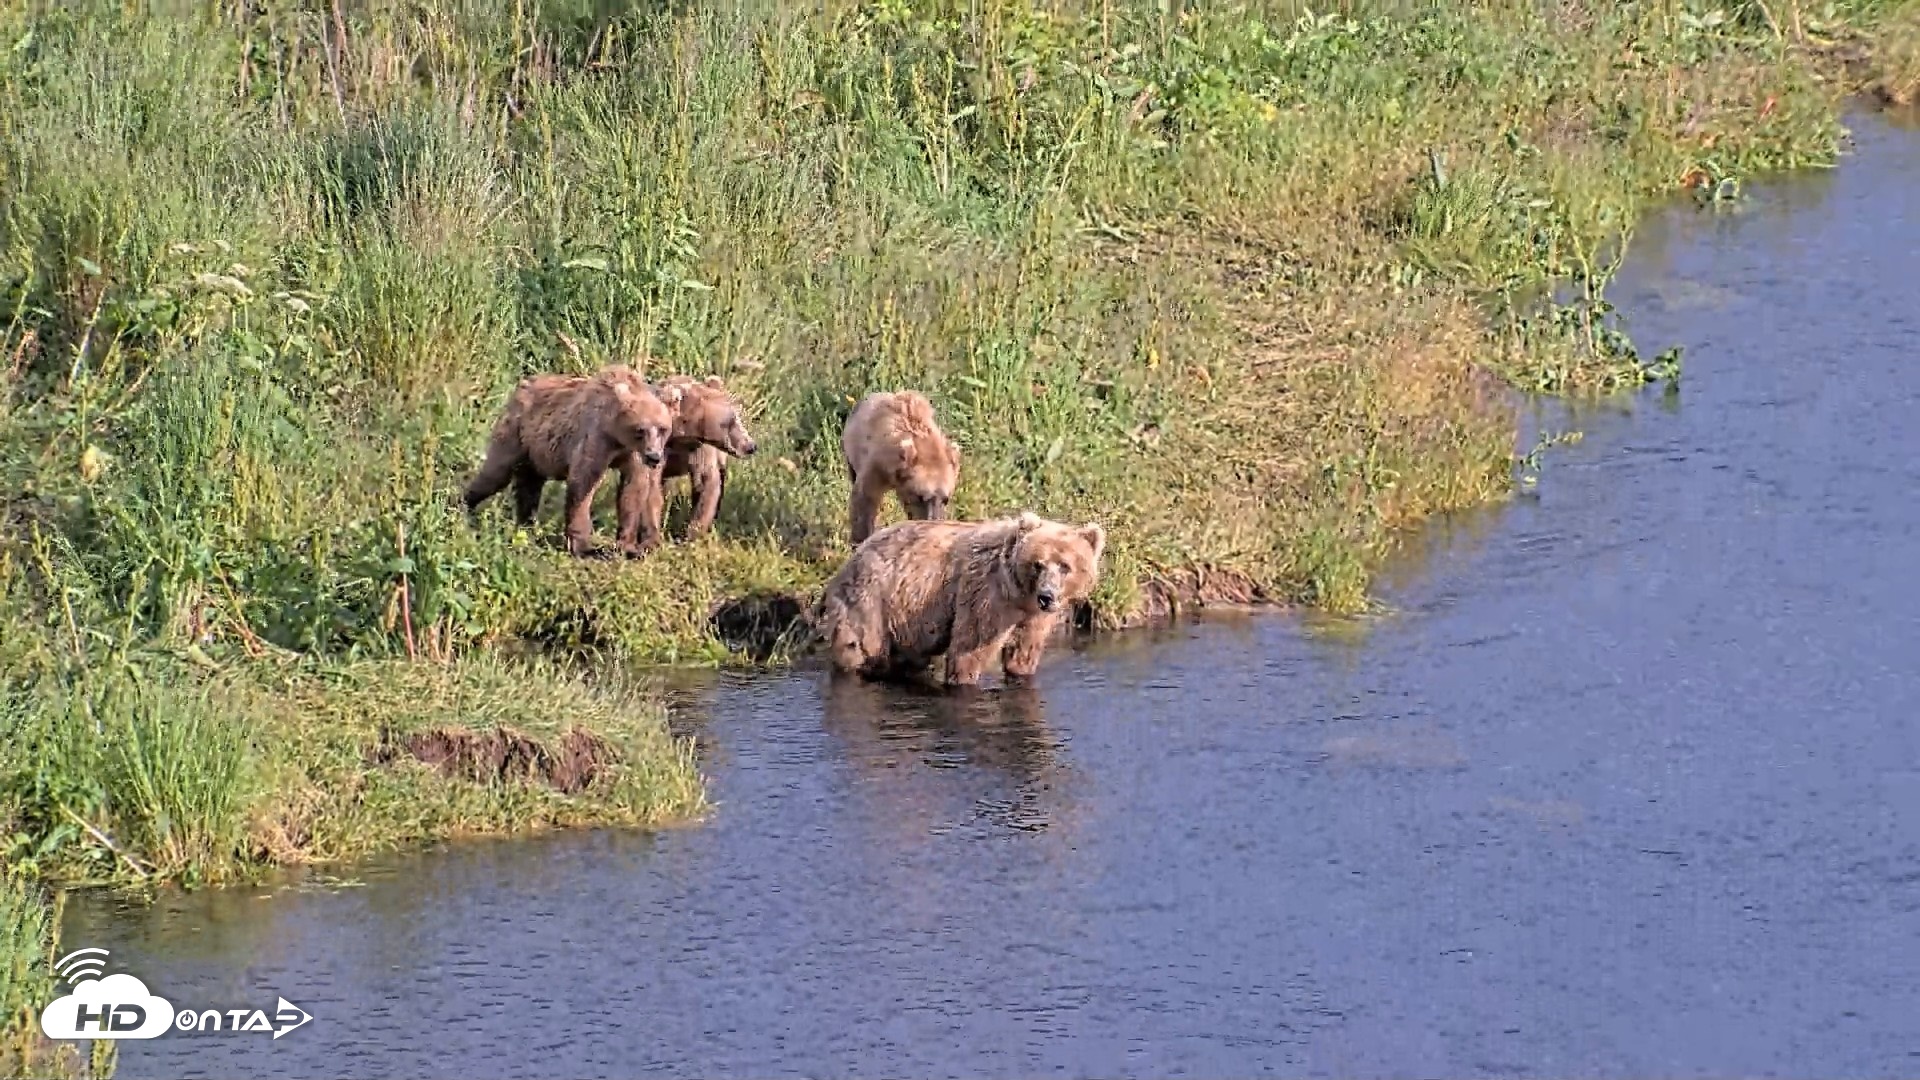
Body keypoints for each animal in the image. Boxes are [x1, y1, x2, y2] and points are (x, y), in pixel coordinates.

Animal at [462, 364, 677, 558]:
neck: (616, 435)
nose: (654, 456)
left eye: (662, 428)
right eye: (640, 430)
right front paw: (584, 547)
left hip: (534, 454)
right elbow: (582, 484)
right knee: (495, 473)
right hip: (516, 433)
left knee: (529, 487)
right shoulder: (596, 438)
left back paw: (526, 526)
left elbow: (633, 489)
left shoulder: (631, 454)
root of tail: (521, 387)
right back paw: (464, 507)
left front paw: (627, 545)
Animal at [617, 373, 758, 554]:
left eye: (736, 416)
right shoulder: (651, 448)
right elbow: (647, 487)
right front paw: (650, 540)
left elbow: (706, 483)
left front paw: (692, 534)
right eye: (730, 421)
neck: (678, 438)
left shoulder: (700, 449)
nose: (751, 446)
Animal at [816, 510, 1106, 687]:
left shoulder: (1033, 616)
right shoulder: (986, 594)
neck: (1019, 595)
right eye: (1038, 564)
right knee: (860, 648)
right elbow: (970, 646)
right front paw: (963, 679)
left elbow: (1023, 651)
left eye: (1065, 566)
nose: (1047, 596)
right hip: (871, 601)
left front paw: (1020, 670)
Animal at [840, 390, 962, 546]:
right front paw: (861, 539)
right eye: (921, 496)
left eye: (946, 499)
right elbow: (865, 498)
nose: (933, 520)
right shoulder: (877, 465)